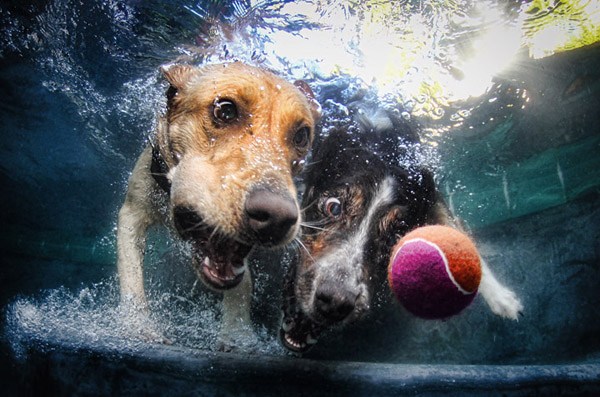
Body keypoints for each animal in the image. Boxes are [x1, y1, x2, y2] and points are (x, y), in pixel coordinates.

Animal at [118, 62, 324, 344]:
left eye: (302, 136)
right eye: (225, 111)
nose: (278, 218)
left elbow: (243, 285)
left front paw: (237, 334)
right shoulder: (132, 212)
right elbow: (130, 275)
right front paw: (138, 326)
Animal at [278, 100, 524, 352]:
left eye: (395, 235)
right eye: (333, 207)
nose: (335, 302)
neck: (382, 148)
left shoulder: (432, 201)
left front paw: (501, 297)